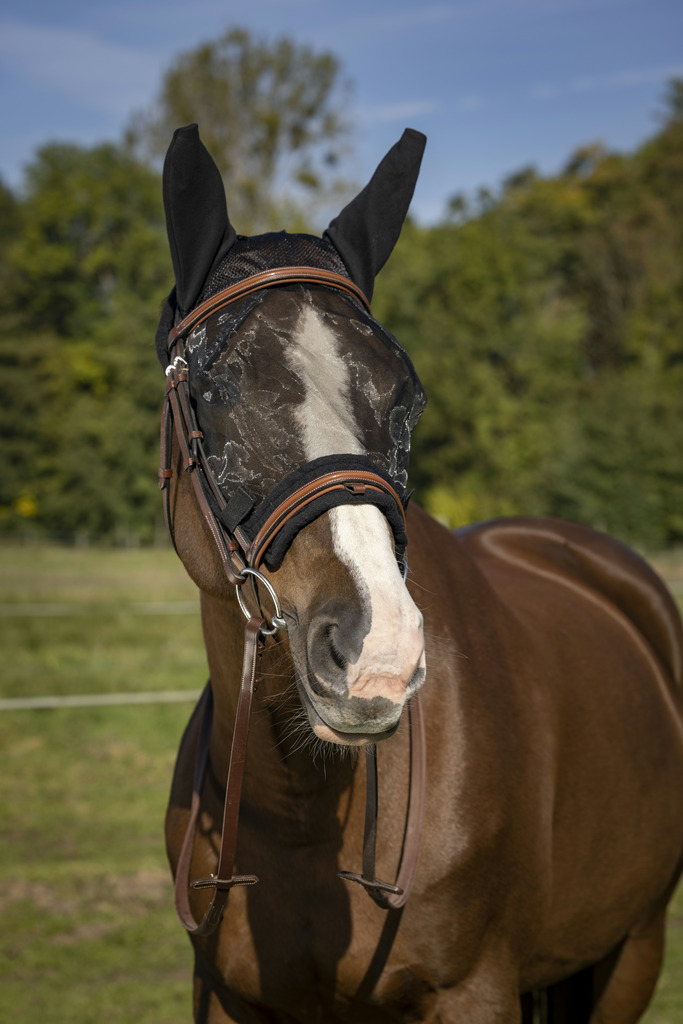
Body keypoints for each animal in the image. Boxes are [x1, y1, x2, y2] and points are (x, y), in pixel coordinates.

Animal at [157, 123, 683, 1019]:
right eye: (213, 388)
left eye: (407, 393)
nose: (378, 652)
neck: (299, 809)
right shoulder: (225, 996)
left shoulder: (474, 991)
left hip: (632, 949)